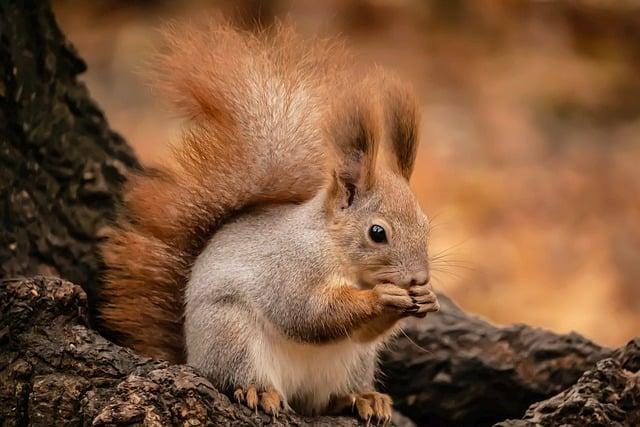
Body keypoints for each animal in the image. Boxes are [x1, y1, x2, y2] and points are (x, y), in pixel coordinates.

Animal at [97, 21, 440, 426]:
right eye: (377, 233)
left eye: (426, 226)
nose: (418, 277)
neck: (335, 248)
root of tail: (191, 355)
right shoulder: (289, 269)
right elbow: (308, 314)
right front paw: (383, 297)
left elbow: (357, 332)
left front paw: (426, 297)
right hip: (231, 334)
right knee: (237, 376)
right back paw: (259, 391)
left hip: (353, 363)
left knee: (329, 398)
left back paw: (364, 398)